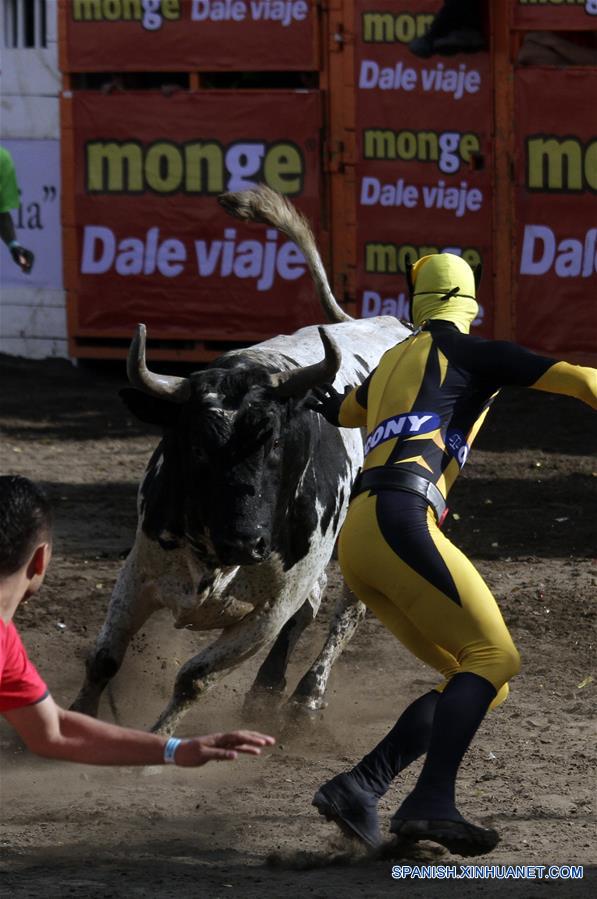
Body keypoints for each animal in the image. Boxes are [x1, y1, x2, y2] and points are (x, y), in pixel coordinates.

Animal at [71, 186, 410, 736]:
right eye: (195, 446)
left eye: (274, 442)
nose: (246, 541)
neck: (214, 555)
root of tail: (396, 324)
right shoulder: (138, 572)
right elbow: (104, 659)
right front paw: (80, 721)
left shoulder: (266, 613)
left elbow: (194, 678)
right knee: (315, 603)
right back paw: (266, 690)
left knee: (348, 609)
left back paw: (305, 697)